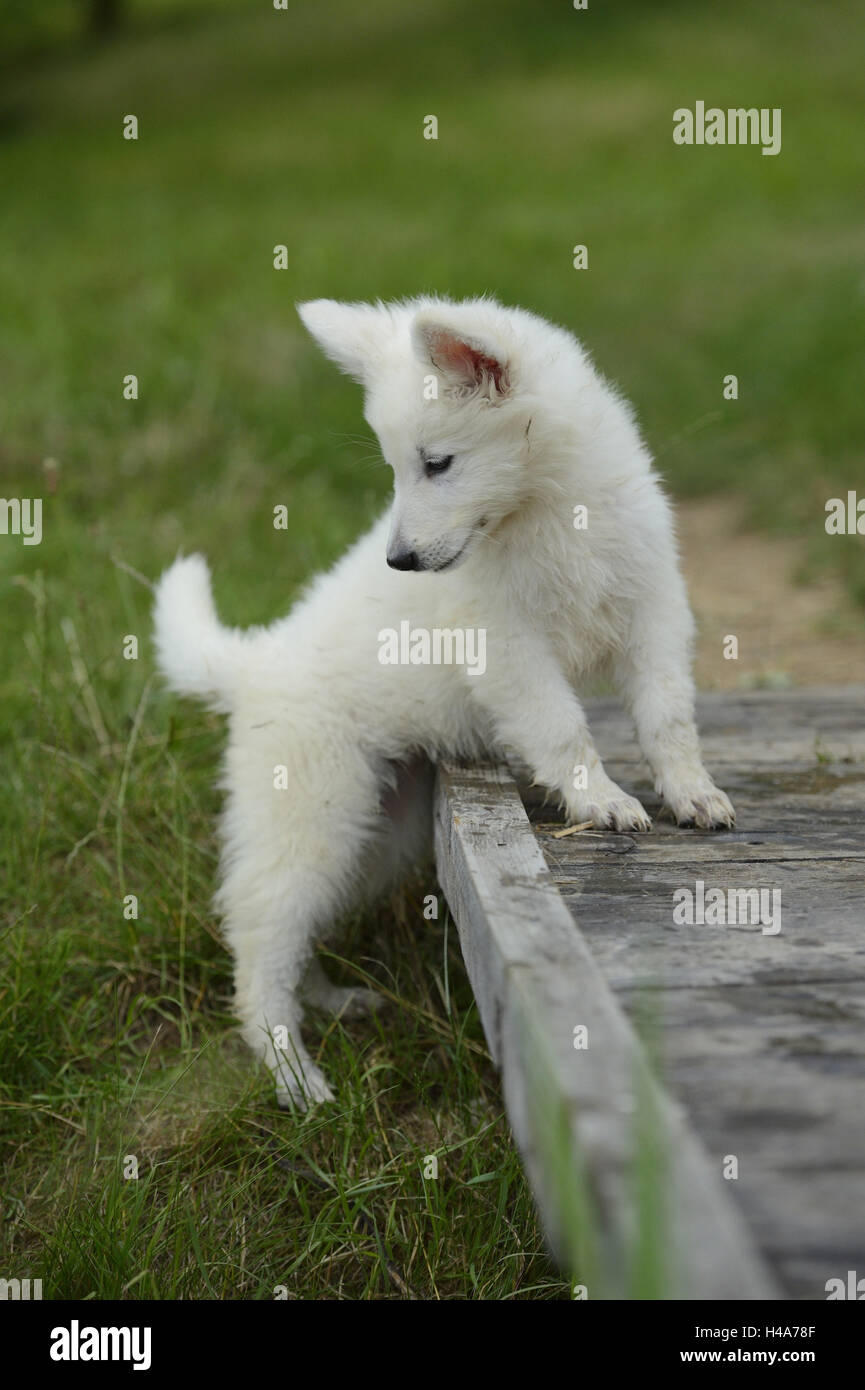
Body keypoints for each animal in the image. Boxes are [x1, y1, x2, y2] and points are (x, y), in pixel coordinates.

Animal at [152, 296, 734, 1106]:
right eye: (400, 467)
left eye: (437, 463)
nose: (399, 560)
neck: (548, 511)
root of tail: (254, 663)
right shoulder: (507, 646)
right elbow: (563, 727)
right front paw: (601, 801)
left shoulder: (651, 609)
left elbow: (668, 716)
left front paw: (691, 792)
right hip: (311, 814)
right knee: (260, 945)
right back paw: (296, 1076)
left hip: (375, 835)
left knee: (298, 935)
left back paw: (331, 1001)